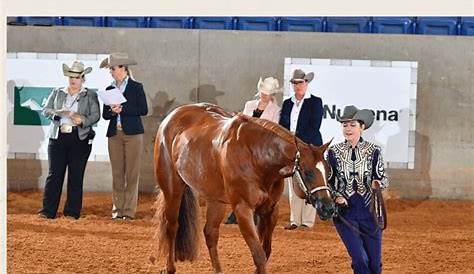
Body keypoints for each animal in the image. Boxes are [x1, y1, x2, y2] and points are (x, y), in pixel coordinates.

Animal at [152, 103, 334, 274]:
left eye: (328, 171)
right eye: (308, 172)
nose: (328, 207)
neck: (256, 156)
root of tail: (172, 117)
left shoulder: (270, 210)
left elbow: (266, 250)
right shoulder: (243, 210)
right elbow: (259, 254)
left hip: (216, 200)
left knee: (210, 233)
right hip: (173, 190)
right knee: (171, 226)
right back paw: (170, 268)